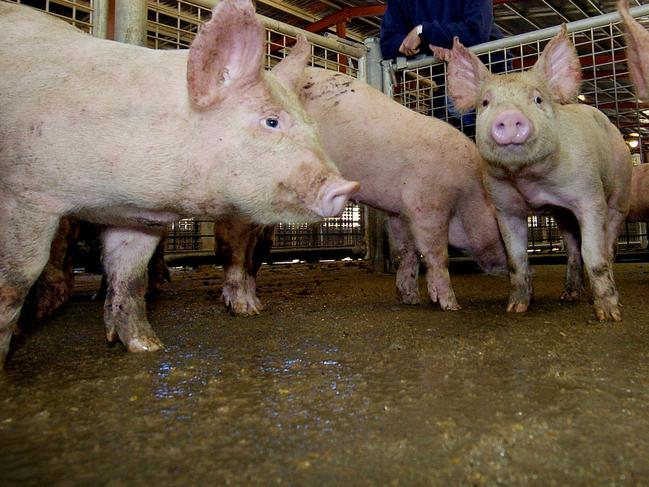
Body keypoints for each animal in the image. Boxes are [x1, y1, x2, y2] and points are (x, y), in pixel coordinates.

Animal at [0, 0, 360, 366]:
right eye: (271, 122)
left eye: (313, 126)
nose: (347, 186)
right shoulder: (27, 194)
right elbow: (17, 277)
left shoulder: (134, 218)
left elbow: (130, 277)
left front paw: (147, 347)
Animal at [432, 27, 632, 324]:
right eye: (485, 103)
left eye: (537, 99)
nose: (508, 117)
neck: (530, 182)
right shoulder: (504, 206)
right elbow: (516, 259)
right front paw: (515, 308)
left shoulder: (589, 195)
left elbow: (593, 254)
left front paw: (609, 316)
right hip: (562, 216)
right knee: (572, 249)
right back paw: (568, 296)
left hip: (621, 193)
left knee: (607, 247)